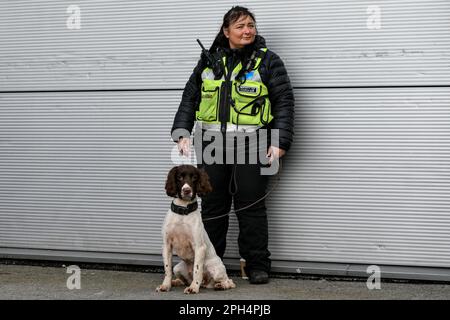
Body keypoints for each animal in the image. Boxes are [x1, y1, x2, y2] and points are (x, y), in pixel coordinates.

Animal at [156, 166, 236, 294]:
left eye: (194, 177)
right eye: (179, 177)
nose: (186, 190)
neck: (183, 211)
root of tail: (206, 283)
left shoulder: (199, 247)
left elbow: (197, 270)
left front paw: (193, 287)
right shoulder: (166, 245)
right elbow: (167, 269)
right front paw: (166, 285)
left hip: (216, 269)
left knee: (229, 281)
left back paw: (221, 285)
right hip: (178, 268)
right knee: (184, 279)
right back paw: (176, 282)